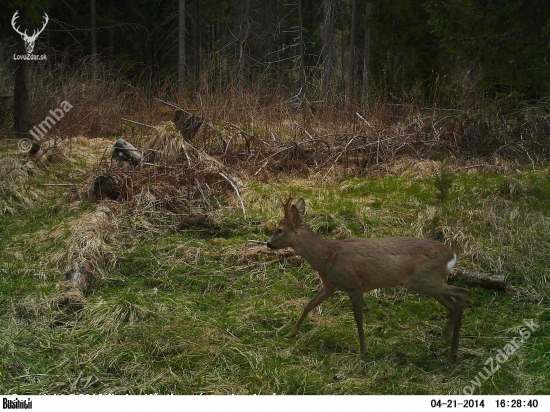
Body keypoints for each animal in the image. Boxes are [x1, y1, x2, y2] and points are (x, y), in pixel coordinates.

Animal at [268, 198, 470, 362]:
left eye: (280, 230)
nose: (268, 244)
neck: (327, 257)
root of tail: (452, 255)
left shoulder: (354, 285)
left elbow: (358, 318)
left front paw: (363, 351)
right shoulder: (330, 285)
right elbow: (309, 305)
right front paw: (290, 333)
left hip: (424, 280)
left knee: (462, 293)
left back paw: (451, 349)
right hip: (429, 282)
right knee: (453, 305)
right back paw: (449, 343)